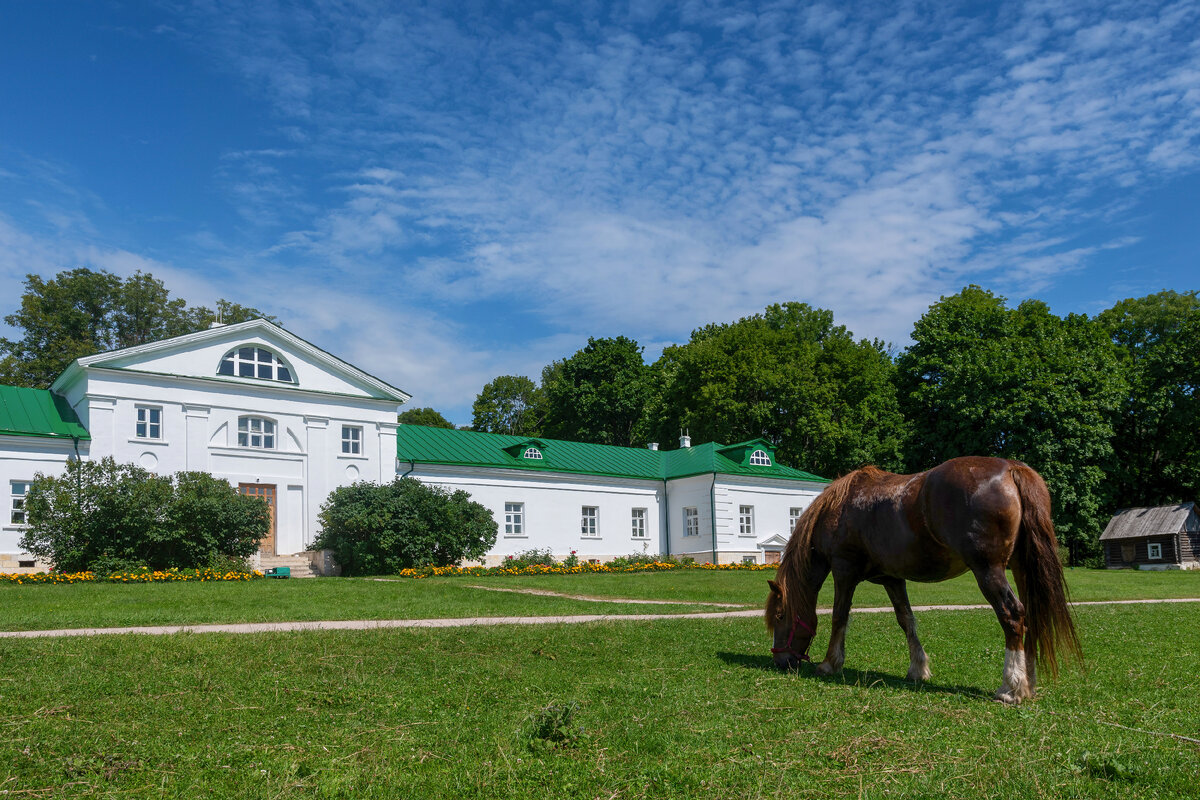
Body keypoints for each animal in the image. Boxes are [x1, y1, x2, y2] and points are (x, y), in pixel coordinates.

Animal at [763, 453, 1084, 705]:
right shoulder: (892, 579)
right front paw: (918, 668)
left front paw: (830, 663)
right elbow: (906, 620)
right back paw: (1028, 681)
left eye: (780, 616)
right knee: (1031, 615)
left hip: (989, 570)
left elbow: (839, 617)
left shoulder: (844, 571)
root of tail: (1011, 468)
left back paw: (1011, 687)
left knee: (1013, 615)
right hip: (1020, 568)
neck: (839, 509)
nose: (781, 661)